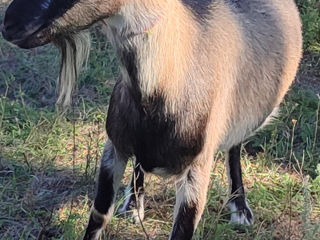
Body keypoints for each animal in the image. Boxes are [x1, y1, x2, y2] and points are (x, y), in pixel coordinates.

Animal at [1, 0, 302, 239]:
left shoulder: (197, 170)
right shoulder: (114, 147)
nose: (9, 24)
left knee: (235, 145)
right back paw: (134, 203)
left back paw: (239, 207)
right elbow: (98, 215)